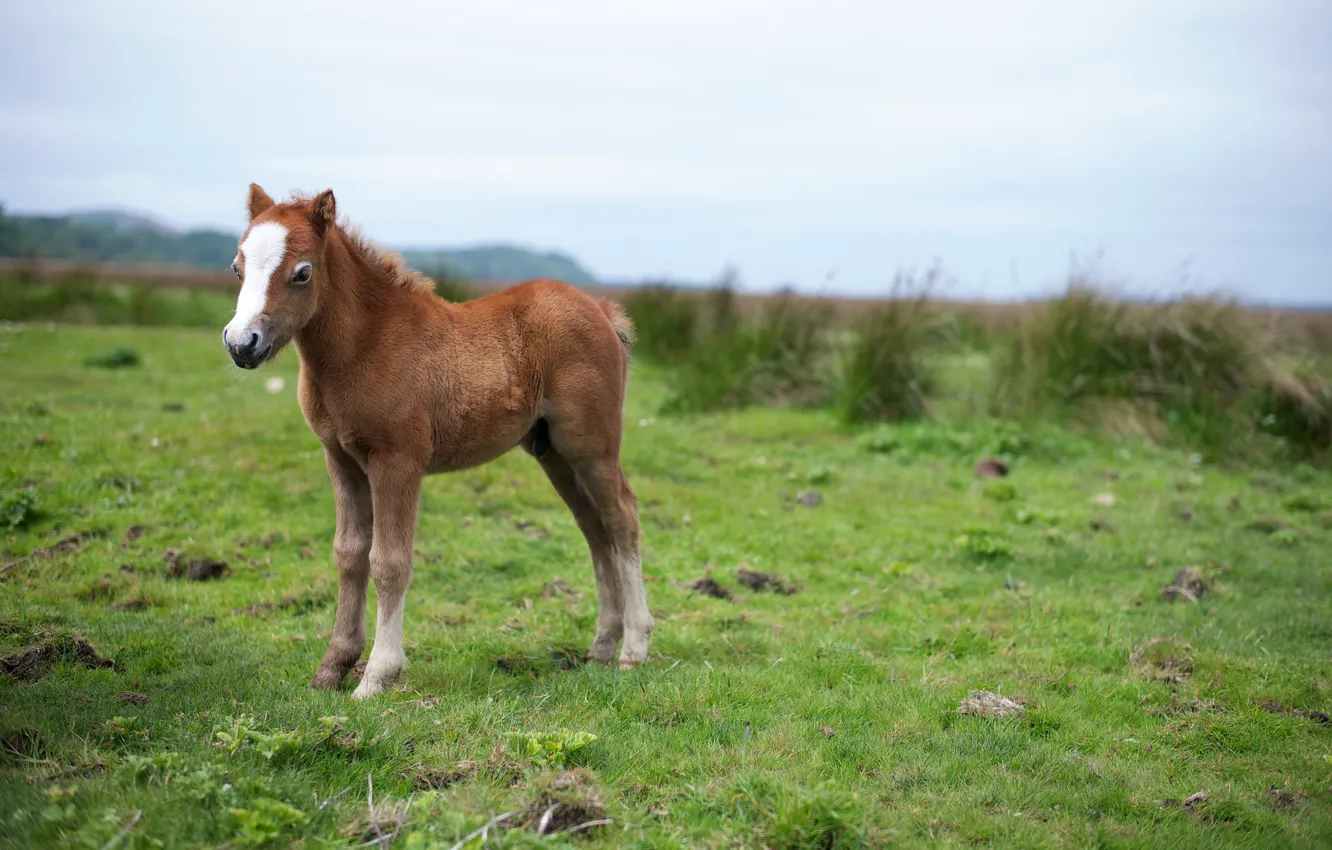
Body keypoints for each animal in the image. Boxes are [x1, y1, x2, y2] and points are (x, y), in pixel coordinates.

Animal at [221, 184, 653, 699]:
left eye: (302, 272)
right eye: (237, 267)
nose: (242, 343)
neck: (365, 345)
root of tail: (602, 312)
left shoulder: (397, 461)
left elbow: (389, 561)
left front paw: (377, 676)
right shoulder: (340, 459)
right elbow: (349, 554)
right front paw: (332, 668)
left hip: (592, 447)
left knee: (622, 518)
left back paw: (634, 649)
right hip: (554, 455)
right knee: (594, 529)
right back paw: (602, 647)